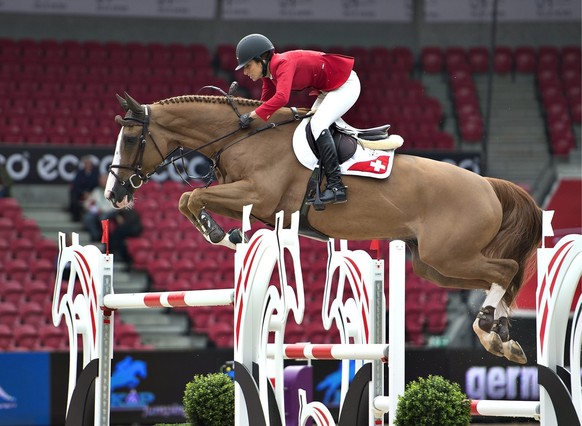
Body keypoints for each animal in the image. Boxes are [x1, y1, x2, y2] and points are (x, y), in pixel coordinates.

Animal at [106, 92, 548, 362]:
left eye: (129, 138)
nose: (114, 194)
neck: (243, 137)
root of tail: (488, 184)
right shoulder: (250, 201)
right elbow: (189, 200)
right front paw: (228, 235)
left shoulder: (255, 195)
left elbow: (192, 198)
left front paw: (222, 235)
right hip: (434, 265)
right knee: (498, 278)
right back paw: (500, 335)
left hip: (450, 254)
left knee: (506, 270)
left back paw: (489, 328)